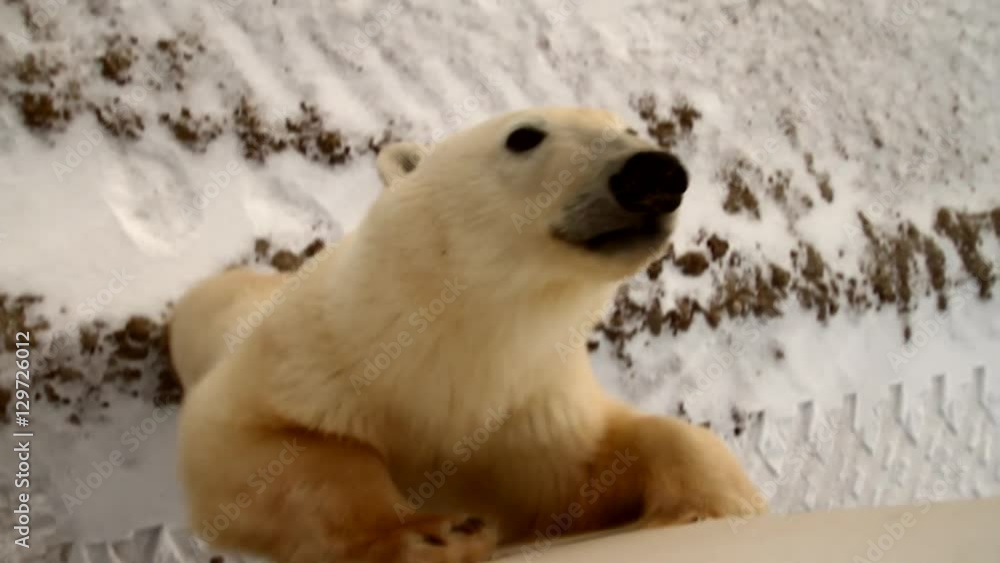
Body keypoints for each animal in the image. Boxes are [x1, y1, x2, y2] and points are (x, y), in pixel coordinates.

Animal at [169, 107, 766, 563]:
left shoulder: (533, 415)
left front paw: (715, 502)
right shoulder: (309, 360)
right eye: (524, 135)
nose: (654, 173)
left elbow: (593, 472)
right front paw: (431, 534)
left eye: (631, 127)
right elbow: (261, 447)